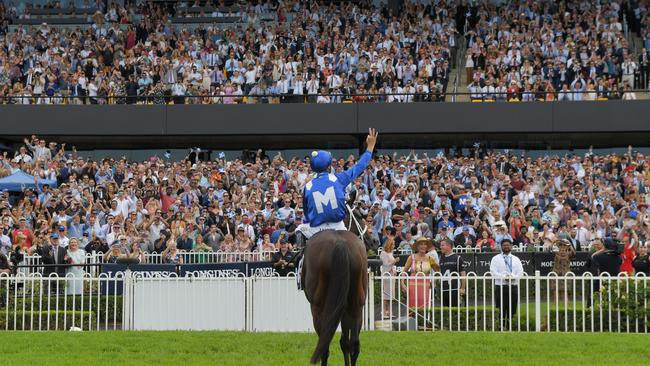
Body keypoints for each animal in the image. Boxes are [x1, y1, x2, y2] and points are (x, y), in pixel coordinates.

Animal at [302, 212, 368, 366]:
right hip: (356, 305)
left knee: (324, 345)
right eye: (359, 216)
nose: (374, 240)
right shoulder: (344, 306)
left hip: (318, 308)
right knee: (355, 344)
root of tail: (340, 243)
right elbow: (345, 342)